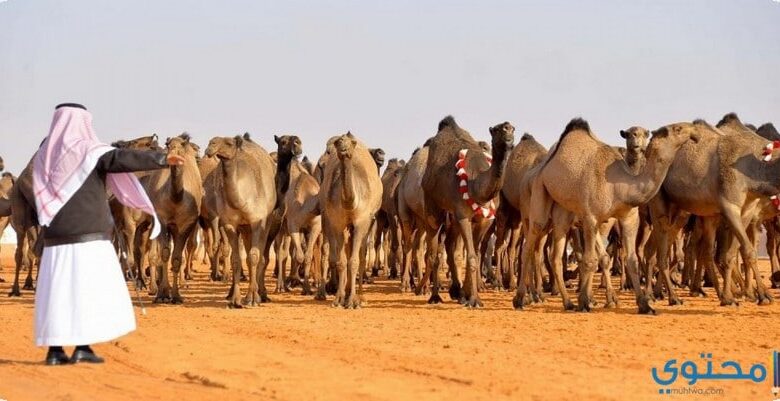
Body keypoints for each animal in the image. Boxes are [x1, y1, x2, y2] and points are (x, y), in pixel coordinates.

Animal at [204, 134, 278, 306]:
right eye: (211, 141)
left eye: (229, 143)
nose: (211, 145)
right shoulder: (230, 224)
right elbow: (236, 260)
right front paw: (235, 300)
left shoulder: (258, 222)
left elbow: (254, 257)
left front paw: (251, 298)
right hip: (244, 228)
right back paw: (233, 293)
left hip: (267, 222)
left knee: (261, 256)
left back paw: (260, 294)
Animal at [318, 131, 382, 306]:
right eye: (339, 142)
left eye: (352, 143)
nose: (343, 149)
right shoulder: (337, 222)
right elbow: (341, 262)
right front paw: (339, 298)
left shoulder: (362, 221)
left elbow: (354, 261)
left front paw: (353, 301)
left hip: (369, 222)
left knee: (361, 254)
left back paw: (360, 296)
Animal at [420, 116, 516, 306]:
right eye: (497, 130)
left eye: (513, 129)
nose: (508, 131)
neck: (476, 184)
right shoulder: (463, 215)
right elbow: (470, 257)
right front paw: (474, 300)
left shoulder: (484, 220)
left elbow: (476, 254)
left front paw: (467, 295)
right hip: (432, 206)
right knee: (434, 252)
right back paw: (434, 296)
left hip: (453, 217)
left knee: (450, 247)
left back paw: (456, 291)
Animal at [516, 117, 696, 310]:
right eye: (677, 129)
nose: (694, 131)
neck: (621, 186)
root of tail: (539, 169)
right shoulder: (590, 217)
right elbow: (589, 259)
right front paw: (585, 302)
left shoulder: (627, 218)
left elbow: (626, 259)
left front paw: (644, 305)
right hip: (539, 193)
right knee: (530, 243)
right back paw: (522, 298)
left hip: (562, 212)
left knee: (555, 255)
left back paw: (567, 302)